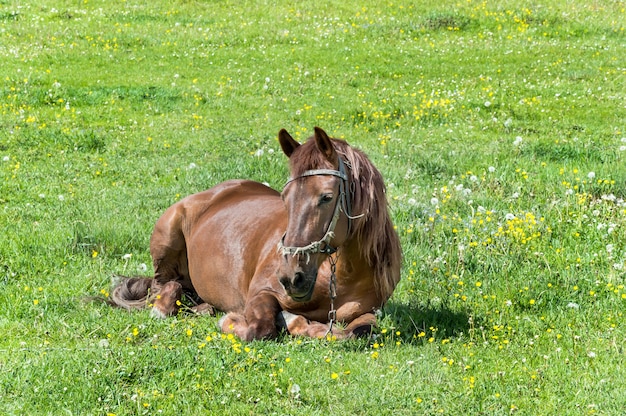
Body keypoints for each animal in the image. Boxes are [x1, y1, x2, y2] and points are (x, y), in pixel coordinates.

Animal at [108, 127, 400, 342]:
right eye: (285, 197)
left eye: (326, 197)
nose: (291, 277)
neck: (341, 275)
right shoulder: (260, 293)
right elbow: (259, 329)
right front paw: (236, 320)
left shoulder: (369, 313)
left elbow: (356, 333)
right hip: (167, 237)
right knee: (164, 285)